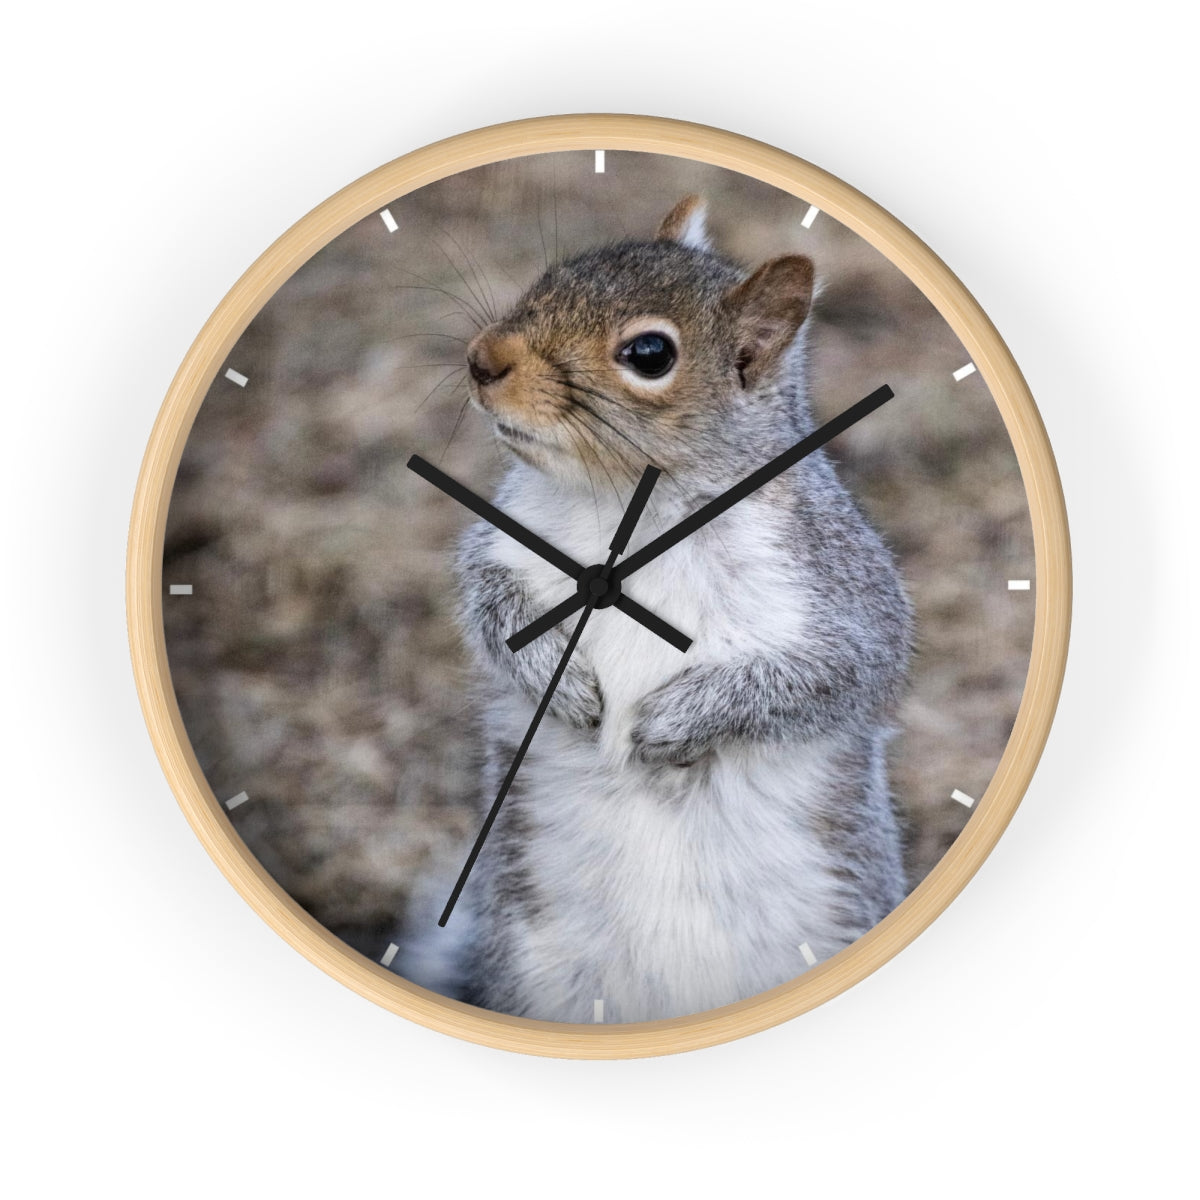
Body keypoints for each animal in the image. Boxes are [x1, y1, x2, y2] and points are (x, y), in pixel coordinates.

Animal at [446, 195, 913, 1024]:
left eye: (650, 354)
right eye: (551, 276)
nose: (482, 358)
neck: (631, 503)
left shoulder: (840, 589)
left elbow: (835, 676)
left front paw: (676, 722)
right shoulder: (503, 541)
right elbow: (486, 601)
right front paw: (557, 679)